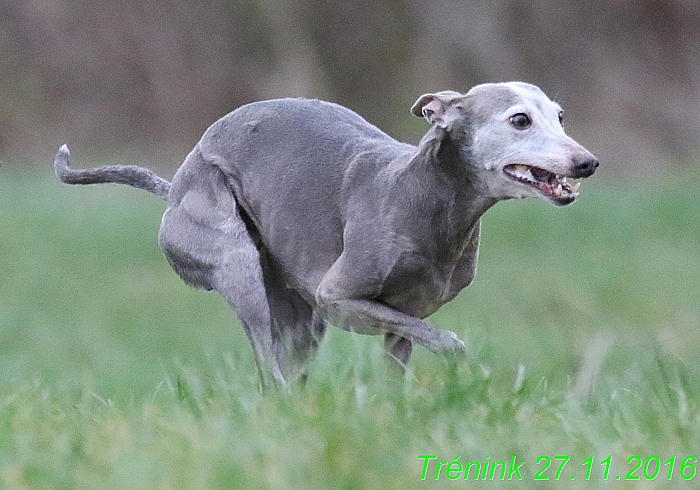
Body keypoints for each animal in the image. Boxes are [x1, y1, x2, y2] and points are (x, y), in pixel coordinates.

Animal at [54, 81, 600, 386]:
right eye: (519, 119)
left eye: (560, 116)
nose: (588, 162)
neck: (420, 195)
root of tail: (174, 188)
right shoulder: (338, 299)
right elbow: (447, 340)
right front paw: (465, 362)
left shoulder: (400, 320)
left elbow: (404, 355)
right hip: (236, 263)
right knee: (269, 370)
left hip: (299, 316)